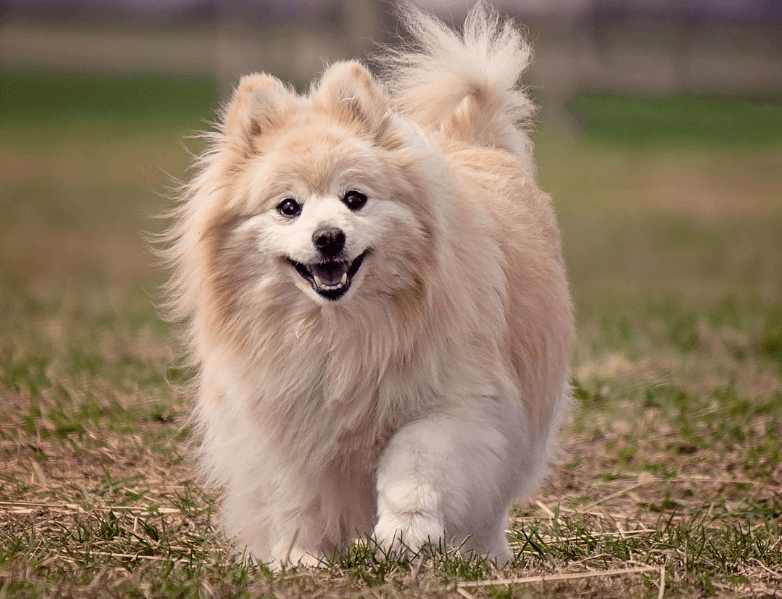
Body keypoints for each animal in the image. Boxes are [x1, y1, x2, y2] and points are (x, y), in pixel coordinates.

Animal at [161, 3, 576, 568]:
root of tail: (477, 141)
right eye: (288, 207)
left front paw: (405, 533)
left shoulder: (457, 403)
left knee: (490, 501)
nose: (328, 237)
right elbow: (297, 497)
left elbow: (412, 462)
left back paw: (483, 555)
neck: (339, 332)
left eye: (354, 199)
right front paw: (298, 559)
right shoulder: (283, 422)